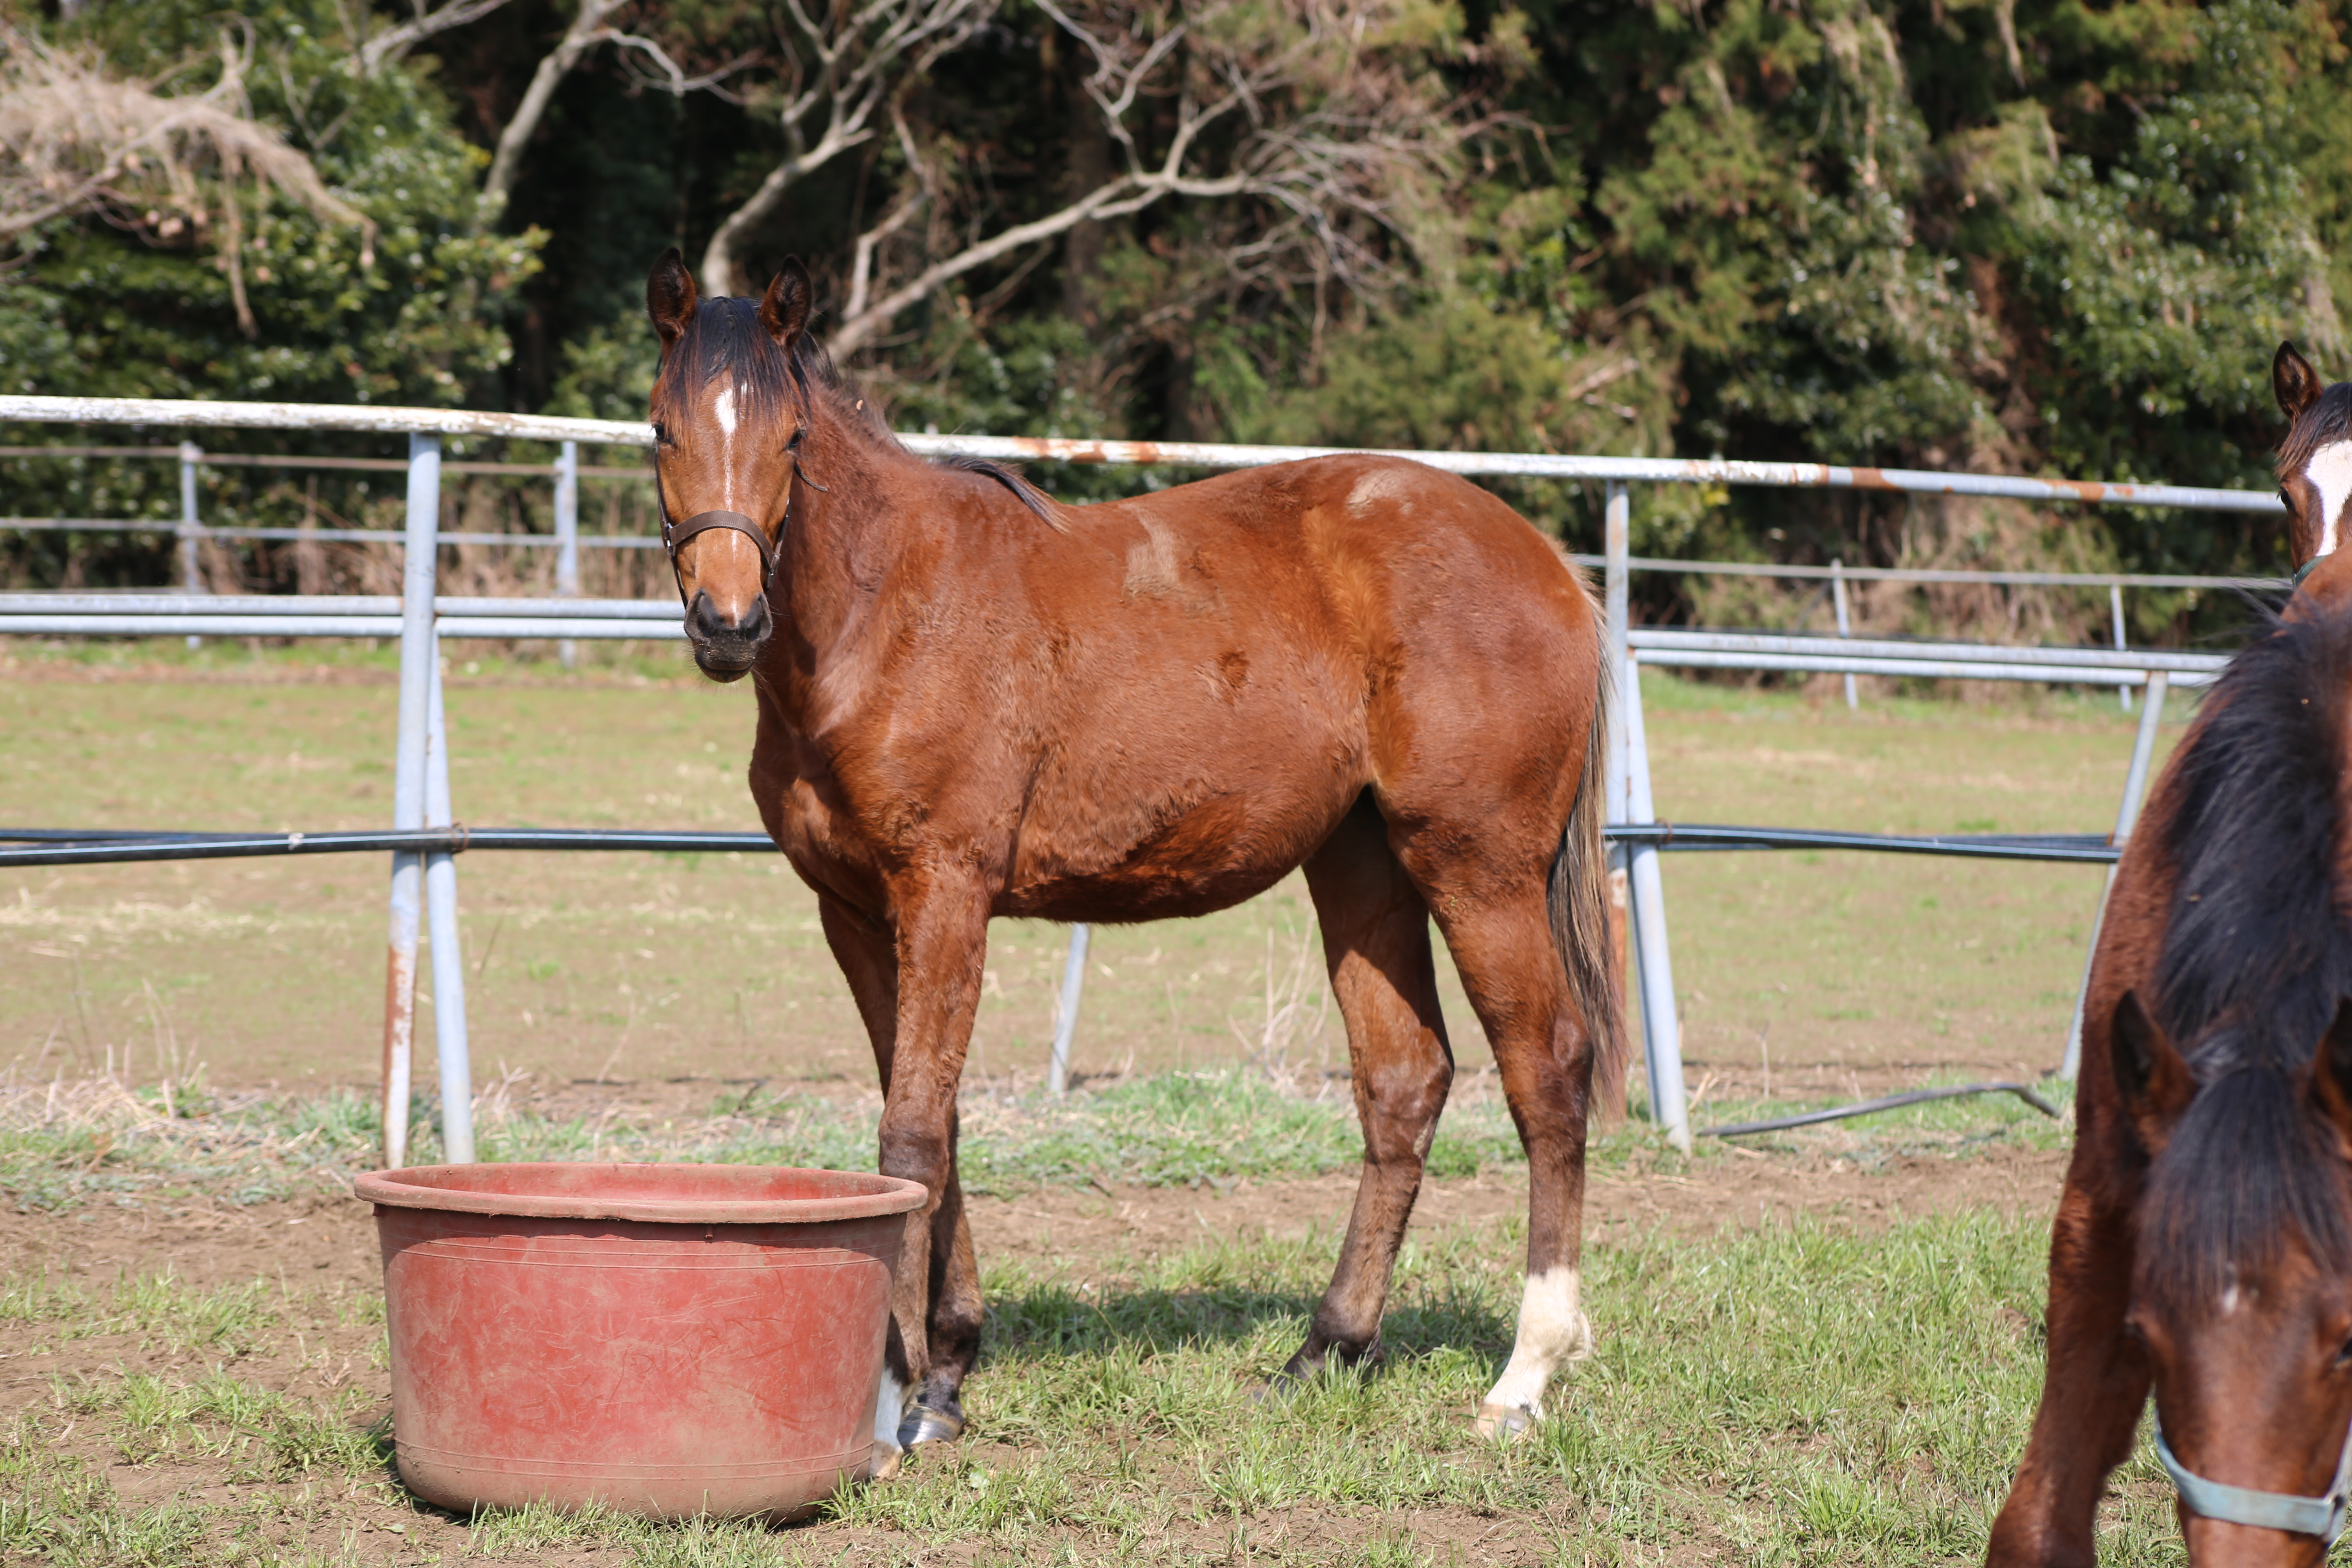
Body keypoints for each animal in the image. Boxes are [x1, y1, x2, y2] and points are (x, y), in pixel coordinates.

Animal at [639, 252, 1637, 1476]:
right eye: (661, 430)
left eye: (788, 441)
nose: (727, 625)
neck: (889, 613)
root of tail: (1549, 565)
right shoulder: (855, 912)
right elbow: (929, 1121)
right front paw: (948, 1366)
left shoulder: (945, 893)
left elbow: (912, 1127)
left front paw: (903, 1396)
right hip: (1364, 871)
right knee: (1404, 1083)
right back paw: (1326, 1350)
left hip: (1477, 869)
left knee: (1546, 1071)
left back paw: (1524, 1376)